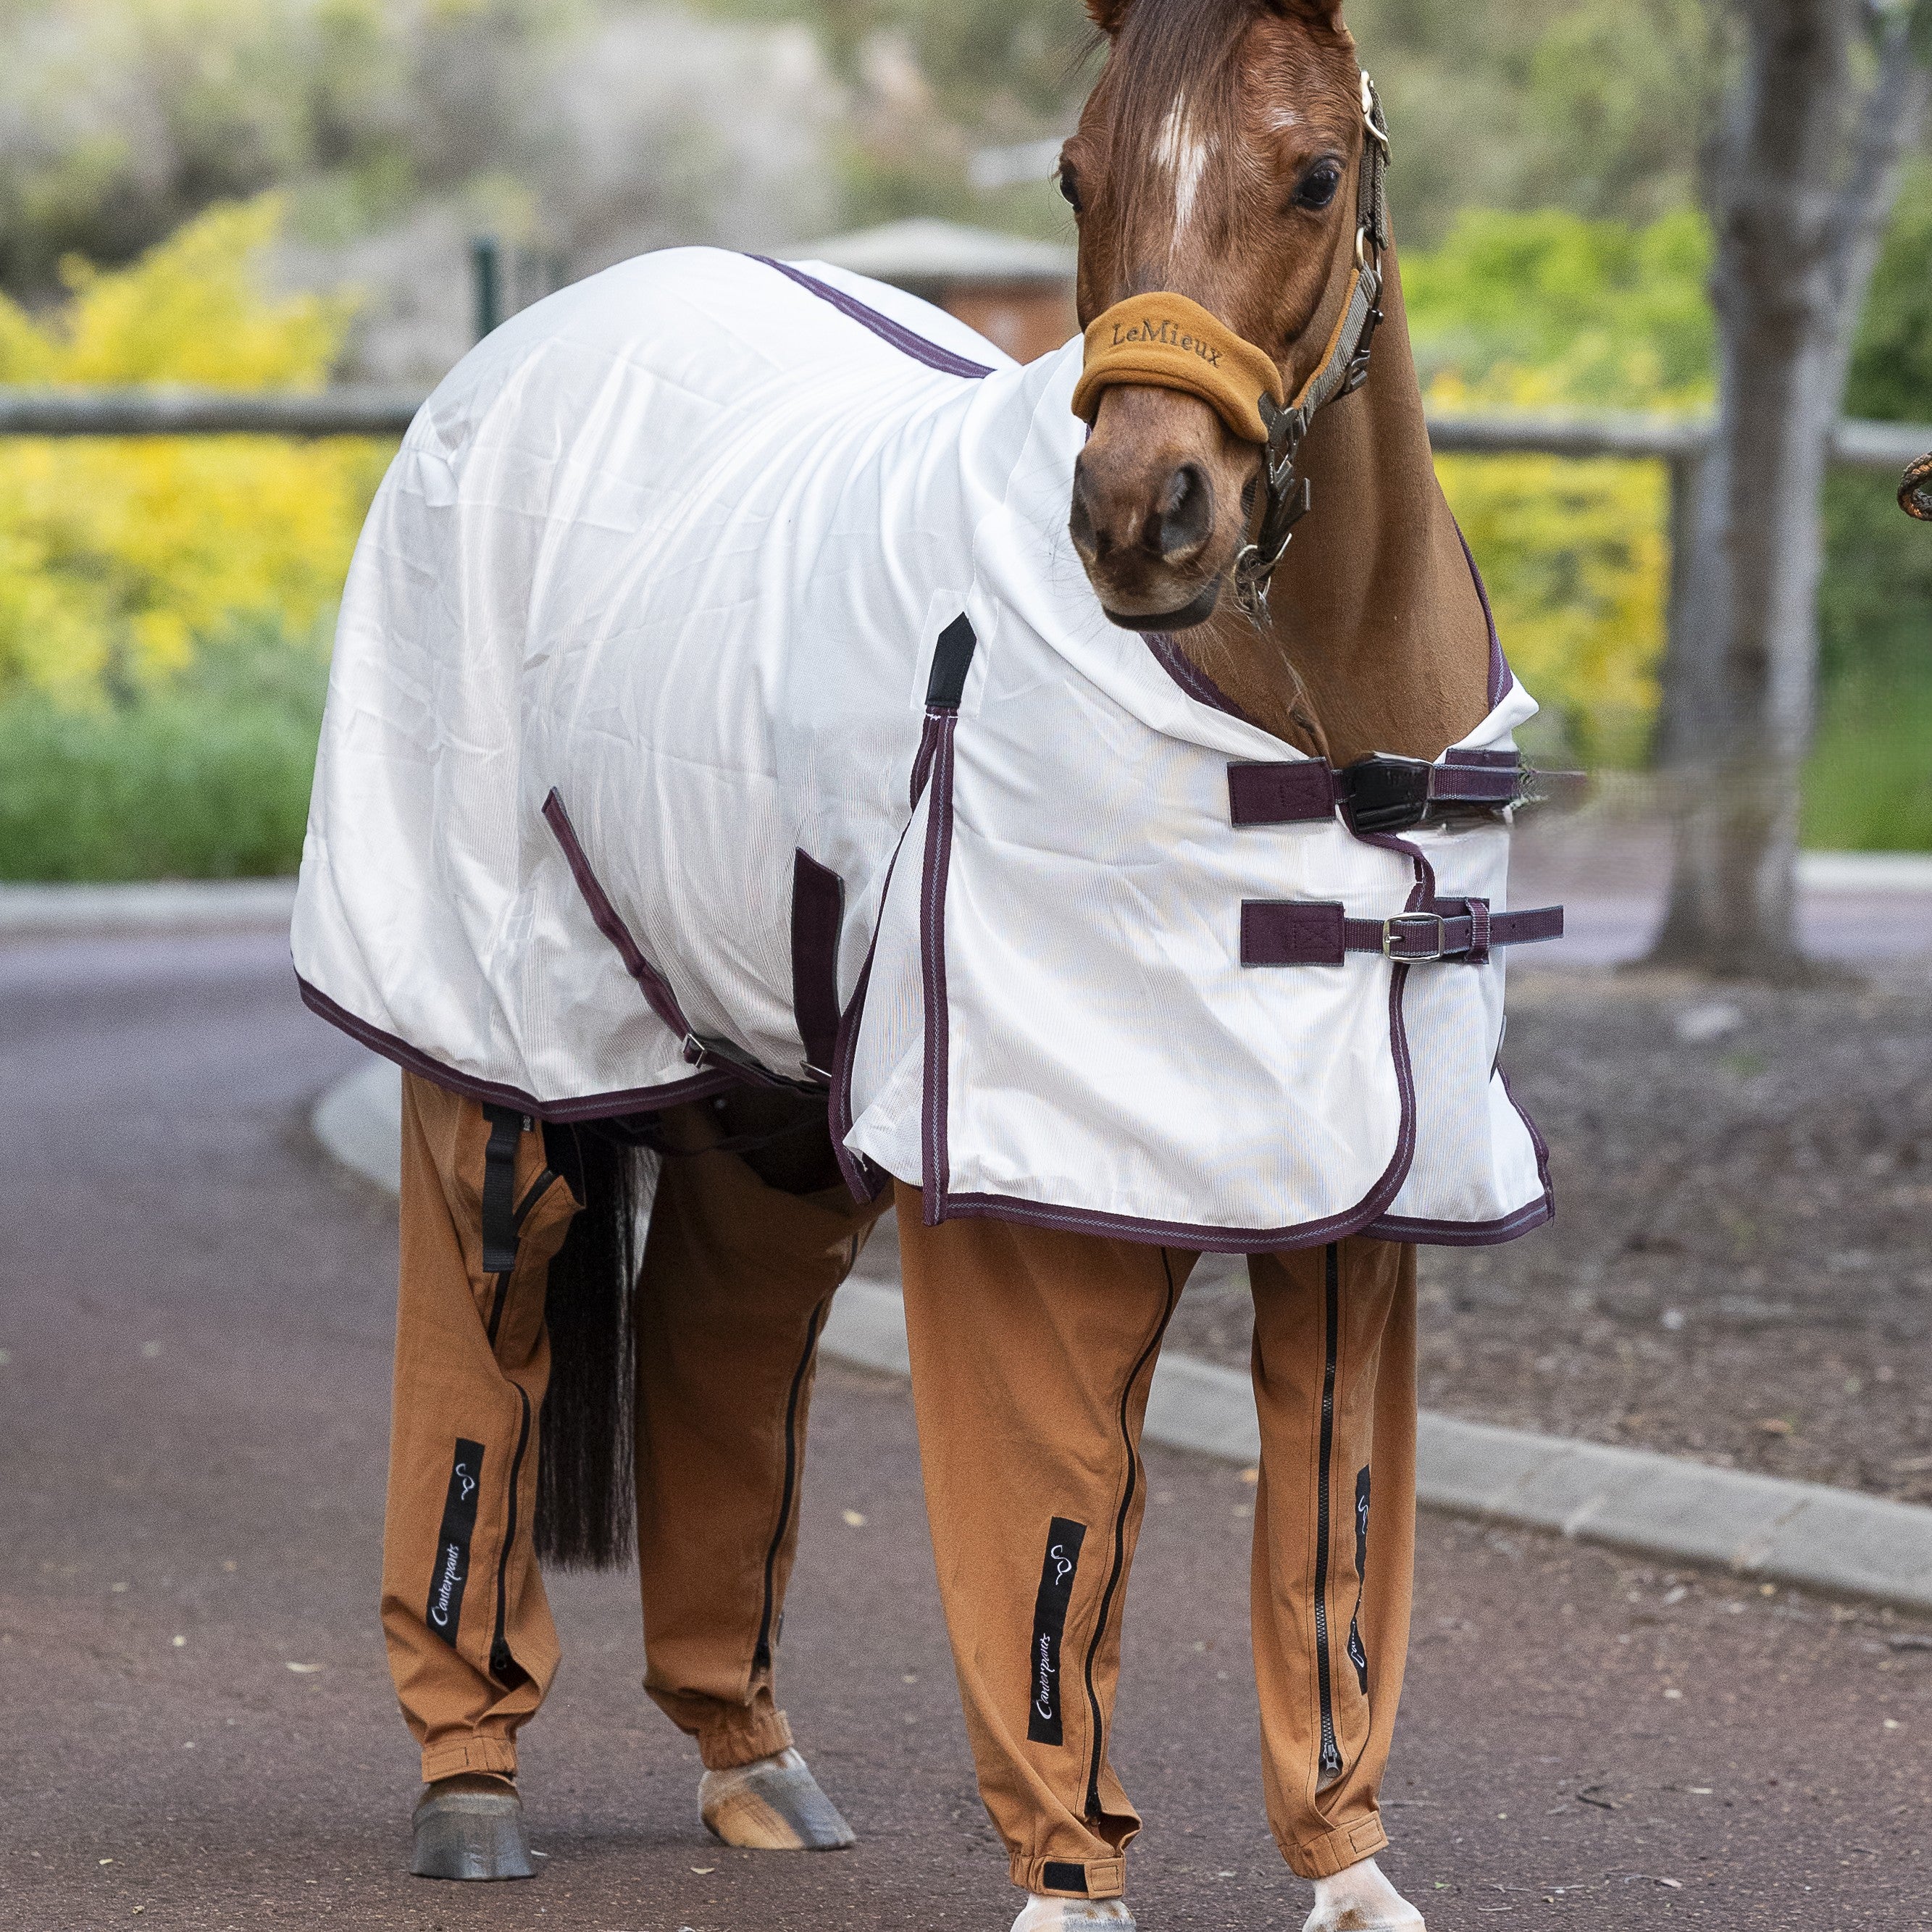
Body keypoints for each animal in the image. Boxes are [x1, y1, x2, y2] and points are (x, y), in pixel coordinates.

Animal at [292, 2, 1558, 1926]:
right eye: (1075, 175)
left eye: (1314, 171)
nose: (1142, 515)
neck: (1315, 726)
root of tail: (528, 339)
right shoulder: (1036, 1204)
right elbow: (1047, 1524)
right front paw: (1068, 1873)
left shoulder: (1362, 1204)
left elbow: (1333, 1544)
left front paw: (1350, 1870)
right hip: (494, 1056)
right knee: (488, 1344)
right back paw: (470, 1771)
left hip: (771, 1105)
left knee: (727, 1343)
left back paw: (750, 1756)